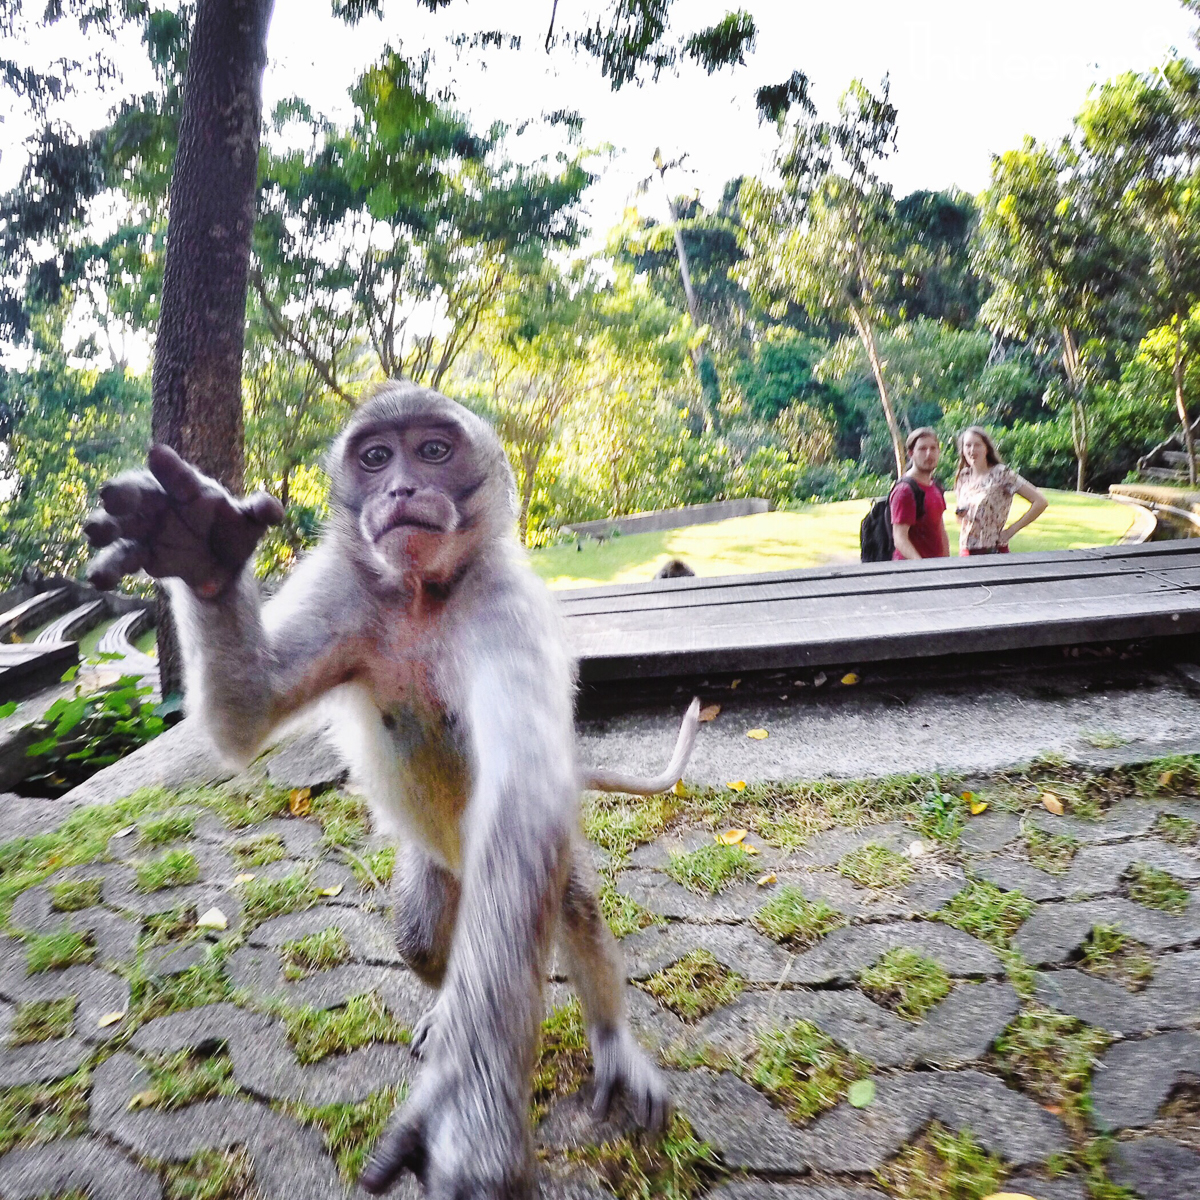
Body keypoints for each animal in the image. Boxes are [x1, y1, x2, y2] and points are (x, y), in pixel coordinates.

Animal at [84, 384, 696, 1200]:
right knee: (421, 935)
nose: (402, 489)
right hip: (435, 869)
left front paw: (471, 1106)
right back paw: (444, 1008)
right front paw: (200, 547)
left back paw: (606, 1034)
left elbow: (523, 800)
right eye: (377, 458)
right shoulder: (342, 588)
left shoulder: (504, 607)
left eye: (432, 451)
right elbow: (246, 717)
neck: (420, 596)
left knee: (567, 901)